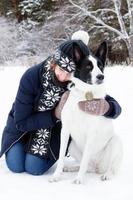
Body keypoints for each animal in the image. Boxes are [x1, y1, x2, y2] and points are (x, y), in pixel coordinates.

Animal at [49, 31, 122, 184]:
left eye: (100, 66)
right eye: (88, 67)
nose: (101, 76)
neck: (86, 93)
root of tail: (98, 167)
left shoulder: (91, 134)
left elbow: (84, 162)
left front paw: (79, 179)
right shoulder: (65, 131)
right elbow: (61, 158)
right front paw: (56, 176)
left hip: (115, 142)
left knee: (111, 167)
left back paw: (106, 175)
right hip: (72, 145)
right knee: (87, 165)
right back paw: (72, 168)